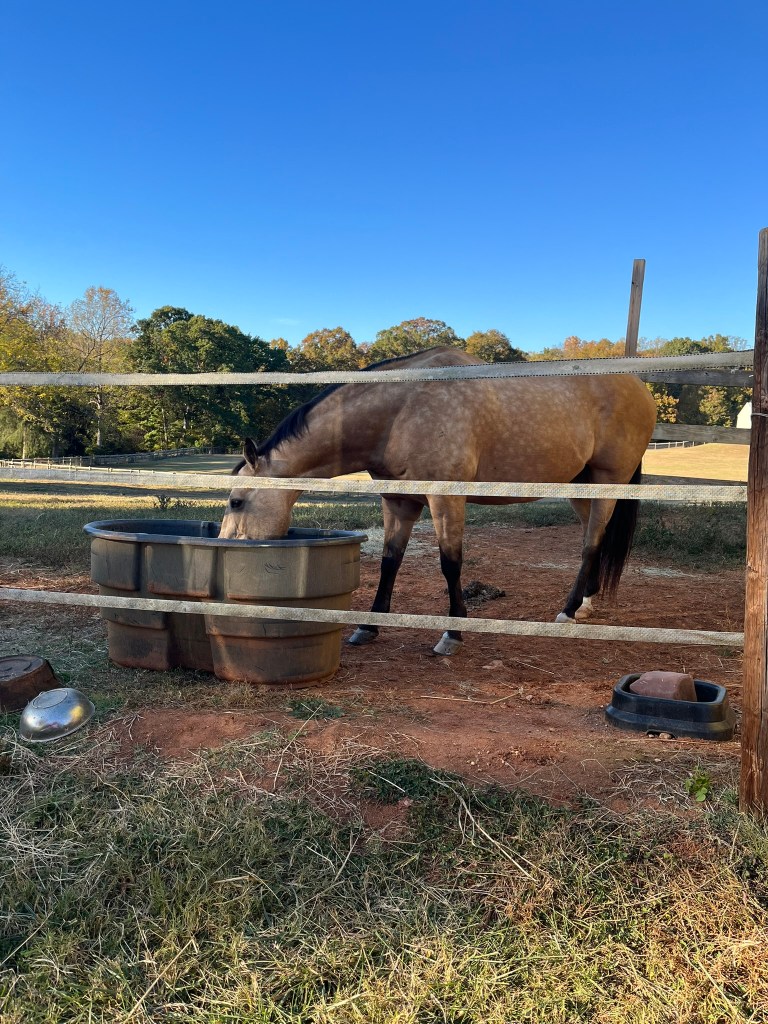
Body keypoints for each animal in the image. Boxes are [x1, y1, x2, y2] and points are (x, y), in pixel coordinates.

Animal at [220, 347, 657, 655]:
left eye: (236, 502)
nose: (224, 548)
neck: (401, 410)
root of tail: (640, 388)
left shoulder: (446, 498)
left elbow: (450, 564)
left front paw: (453, 632)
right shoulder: (398, 502)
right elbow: (390, 561)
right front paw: (368, 626)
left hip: (608, 482)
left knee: (591, 543)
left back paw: (568, 610)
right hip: (582, 486)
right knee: (593, 537)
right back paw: (585, 602)